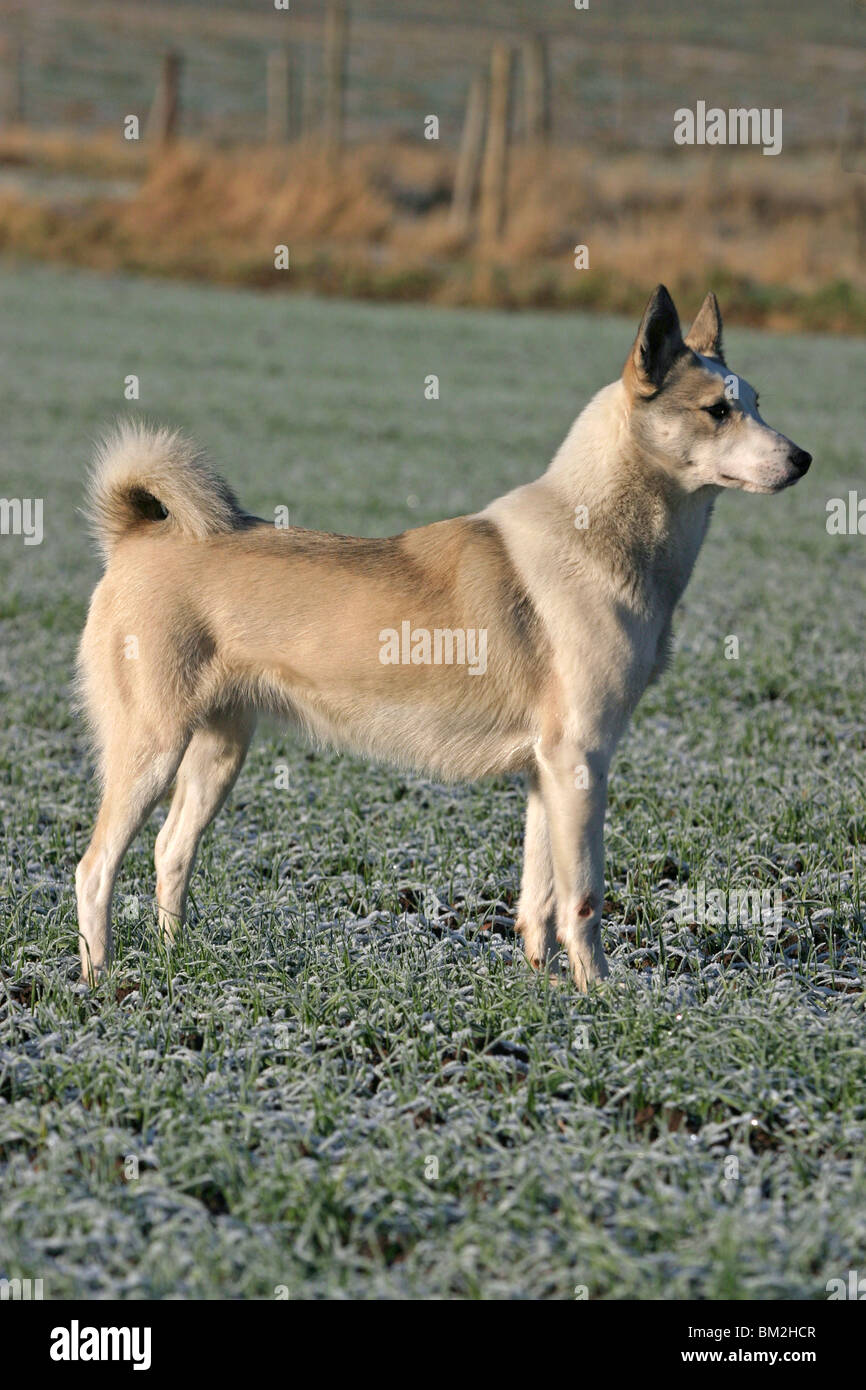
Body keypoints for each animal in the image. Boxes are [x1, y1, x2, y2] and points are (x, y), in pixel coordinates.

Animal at [74, 287, 811, 989]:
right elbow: (583, 899)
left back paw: (178, 961)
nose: (804, 459)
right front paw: (599, 993)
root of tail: (138, 535)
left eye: (757, 405)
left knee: (171, 851)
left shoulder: (547, 773)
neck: (603, 537)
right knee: (95, 867)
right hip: (151, 748)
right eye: (717, 411)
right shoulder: (581, 760)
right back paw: (99, 982)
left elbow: (538, 899)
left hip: (218, 752)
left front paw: (545, 986)